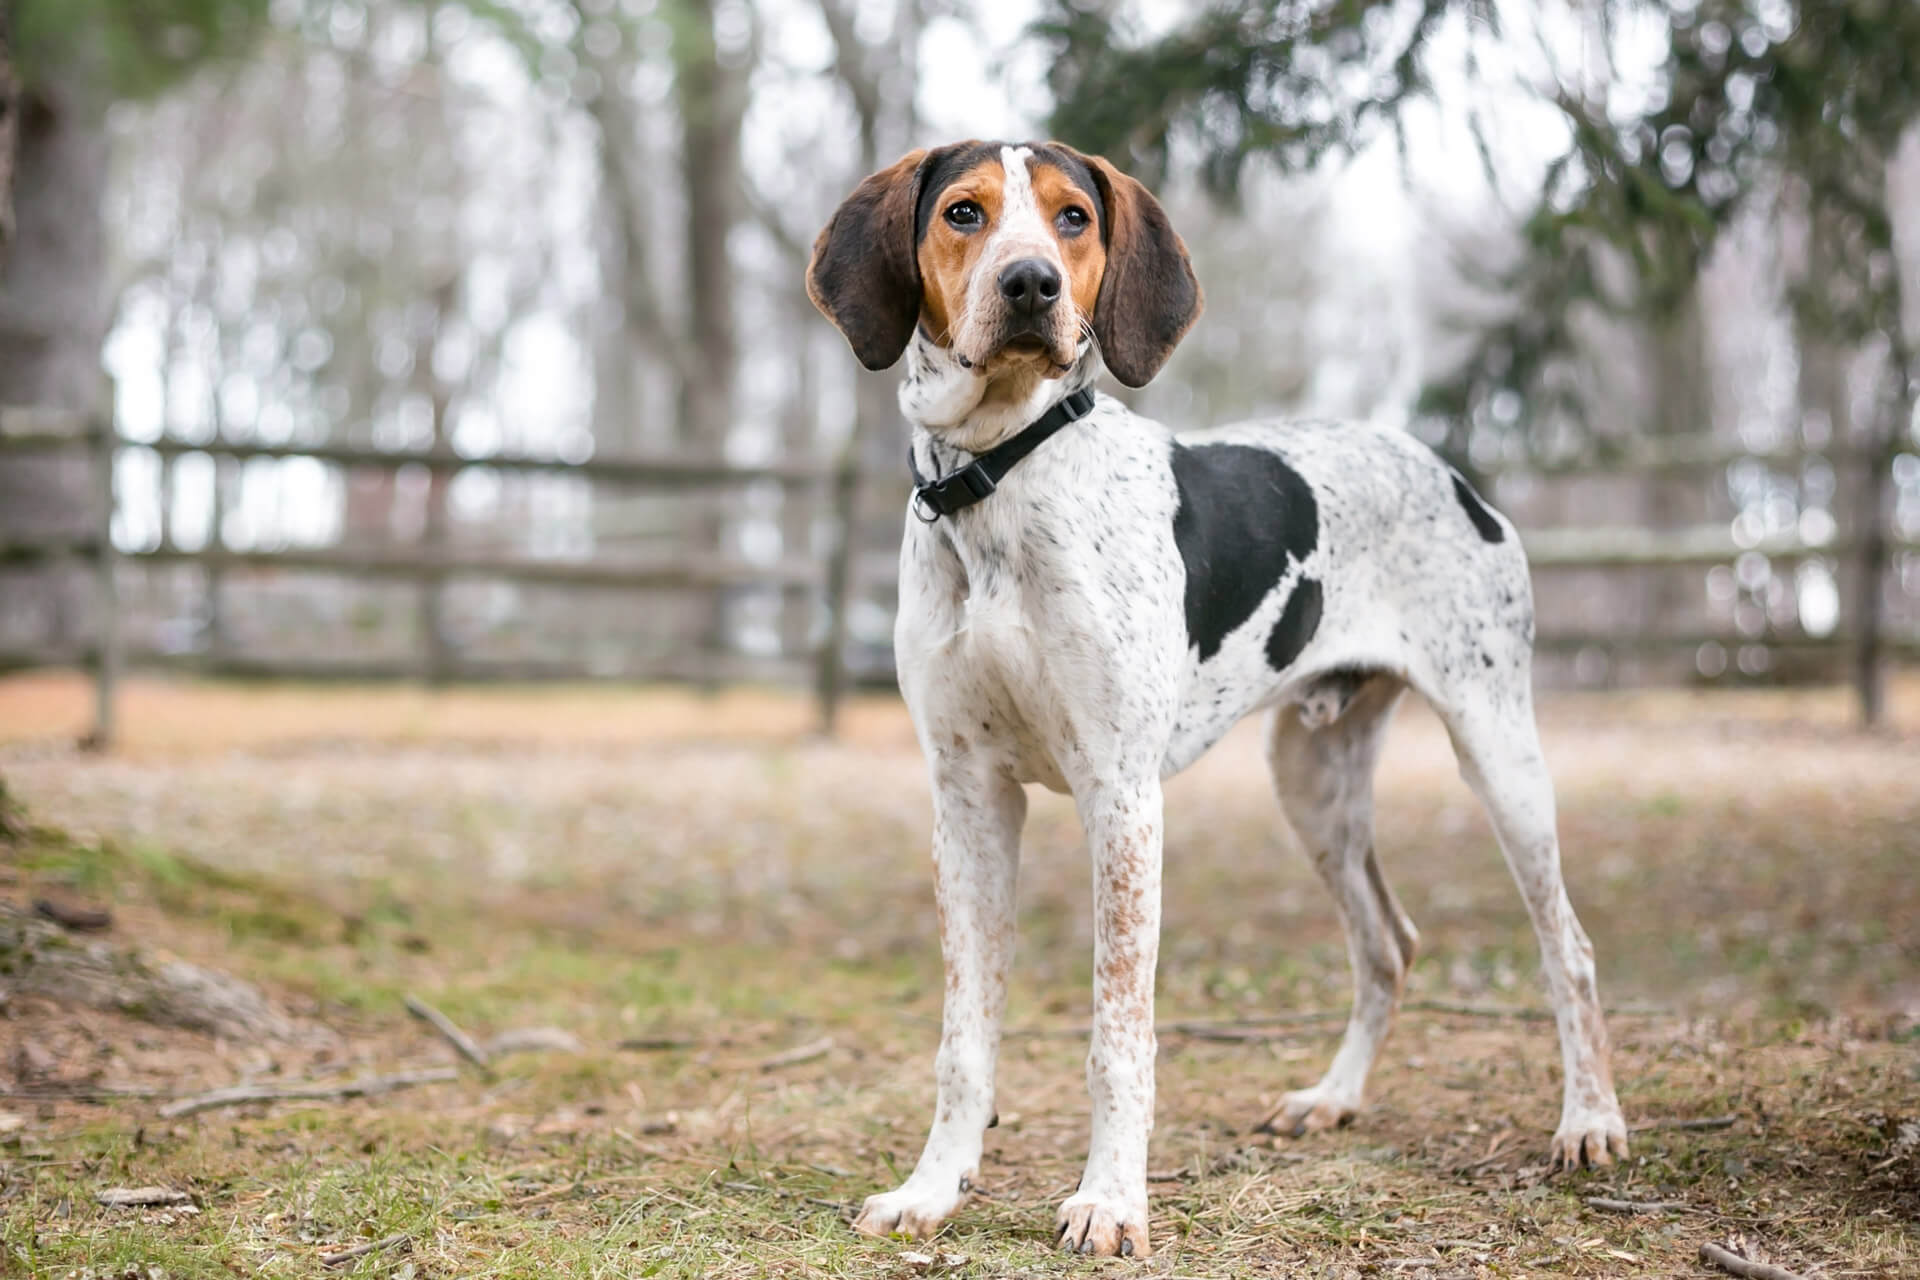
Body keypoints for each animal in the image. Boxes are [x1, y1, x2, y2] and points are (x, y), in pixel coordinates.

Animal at [802, 142, 1628, 1258]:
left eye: (1072, 217)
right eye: (964, 213)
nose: (1032, 286)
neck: (999, 477)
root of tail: (1450, 471)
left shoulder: (1121, 798)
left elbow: (1119, 1033)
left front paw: (1110, 1201)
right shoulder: (967, 797)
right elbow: (963, 1036)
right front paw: (933, 1187)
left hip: (1499, 753)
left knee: (1566, 948)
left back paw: (1589, 1120)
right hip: (1312, 783)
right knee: (1388, 943)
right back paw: (1333, 1097)